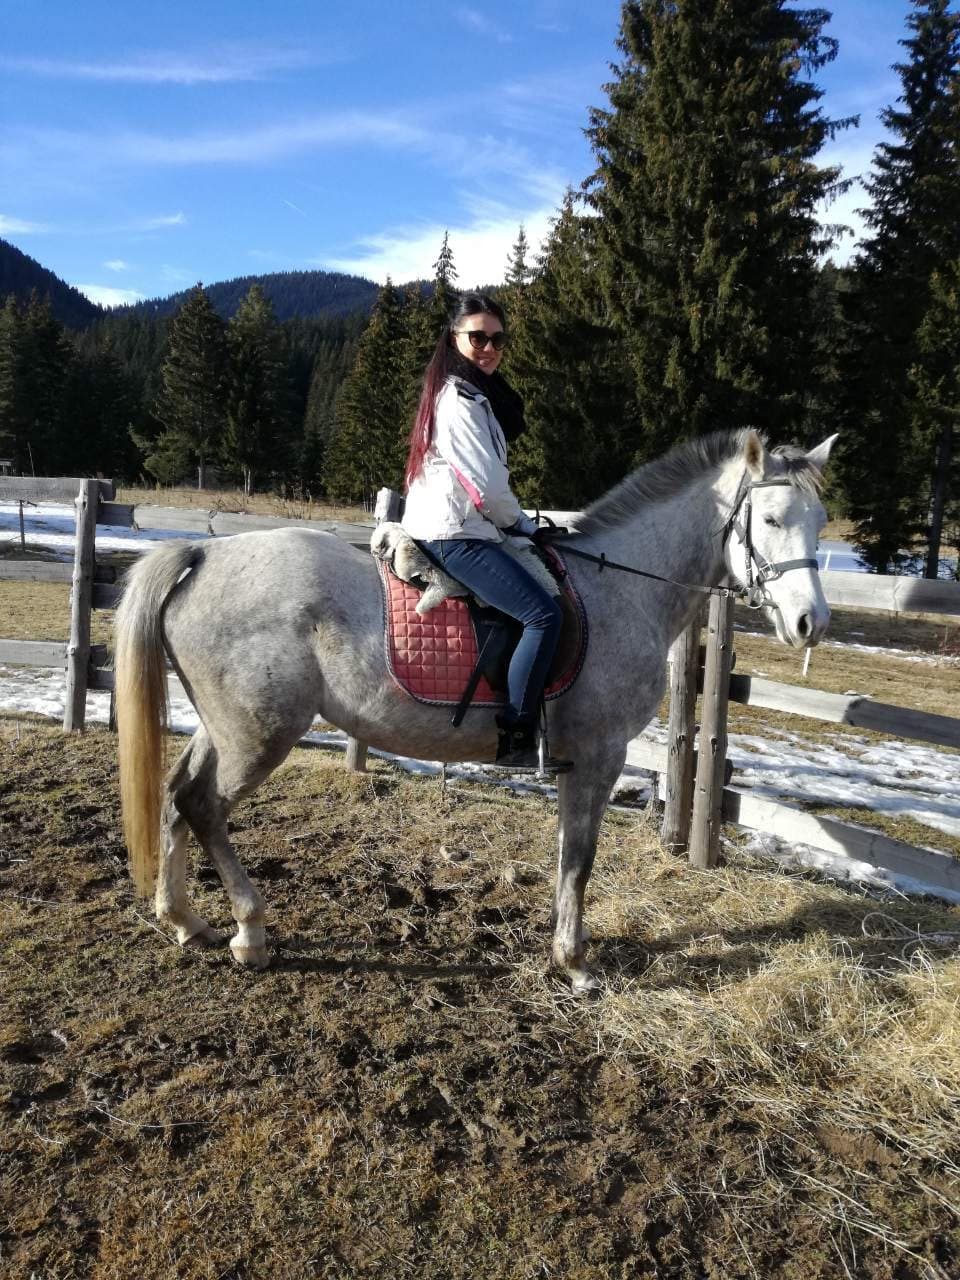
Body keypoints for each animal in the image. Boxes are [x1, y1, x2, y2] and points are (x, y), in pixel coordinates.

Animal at [115, 428, 836, 992]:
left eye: (820, 522)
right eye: (771, 519)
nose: (811, 622)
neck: (620, 589)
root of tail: (205, 552)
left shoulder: (577, 760)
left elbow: (566, 853)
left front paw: (563, 950)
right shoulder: (600, 755)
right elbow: (581, 856)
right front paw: (575, 961)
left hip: (223, 727)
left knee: (178, 796)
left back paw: (185, 921)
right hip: (258, 735)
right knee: (204, 806)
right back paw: (250, 931)